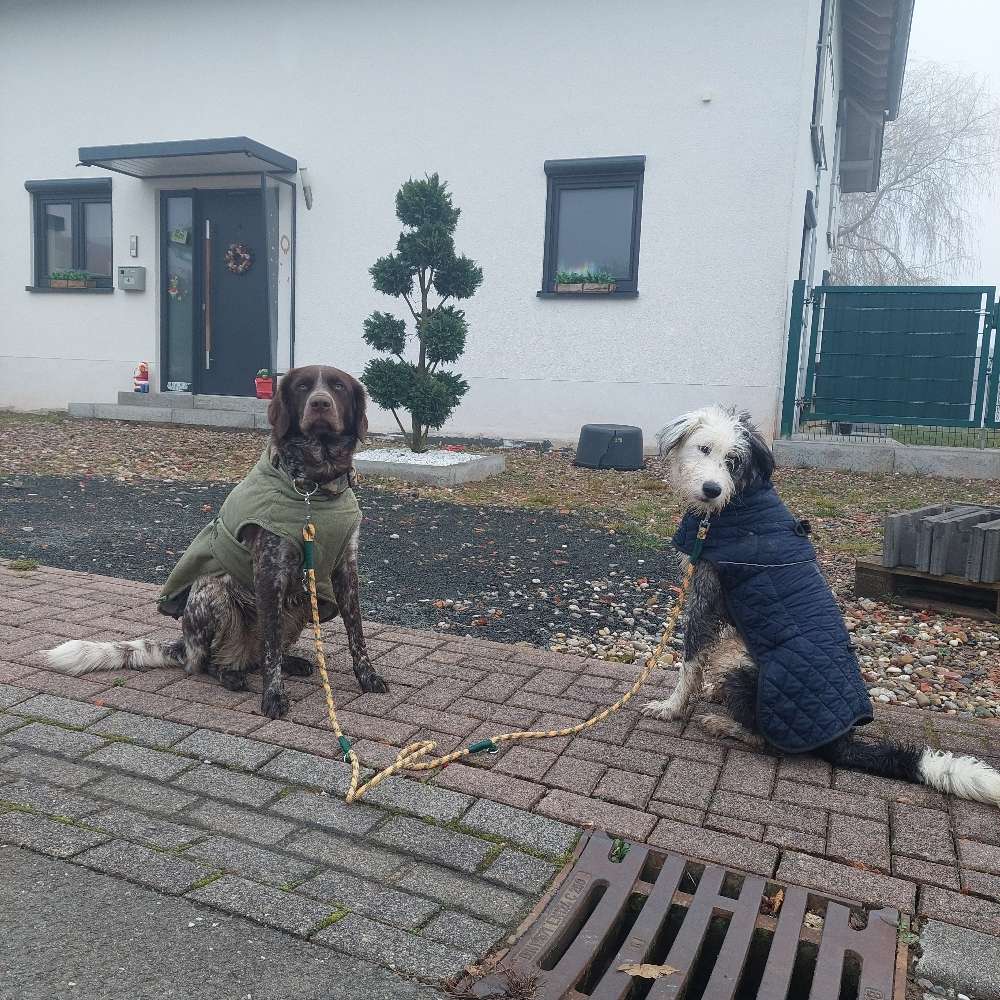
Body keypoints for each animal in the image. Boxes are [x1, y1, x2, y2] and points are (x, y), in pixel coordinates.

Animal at [46, 368, 386, 720]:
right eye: (303, 386)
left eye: (338, 386)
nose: (320, 403)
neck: (316, 488)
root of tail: (184, 646)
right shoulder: (270, 574)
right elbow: (271, 652)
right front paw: (273, 696)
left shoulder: (346, 568)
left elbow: (356, 632)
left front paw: (367, 677)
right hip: (212, 595)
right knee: (210, 662)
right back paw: (230, 673)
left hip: (301, 604)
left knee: (261, 654)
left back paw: (288, 662)